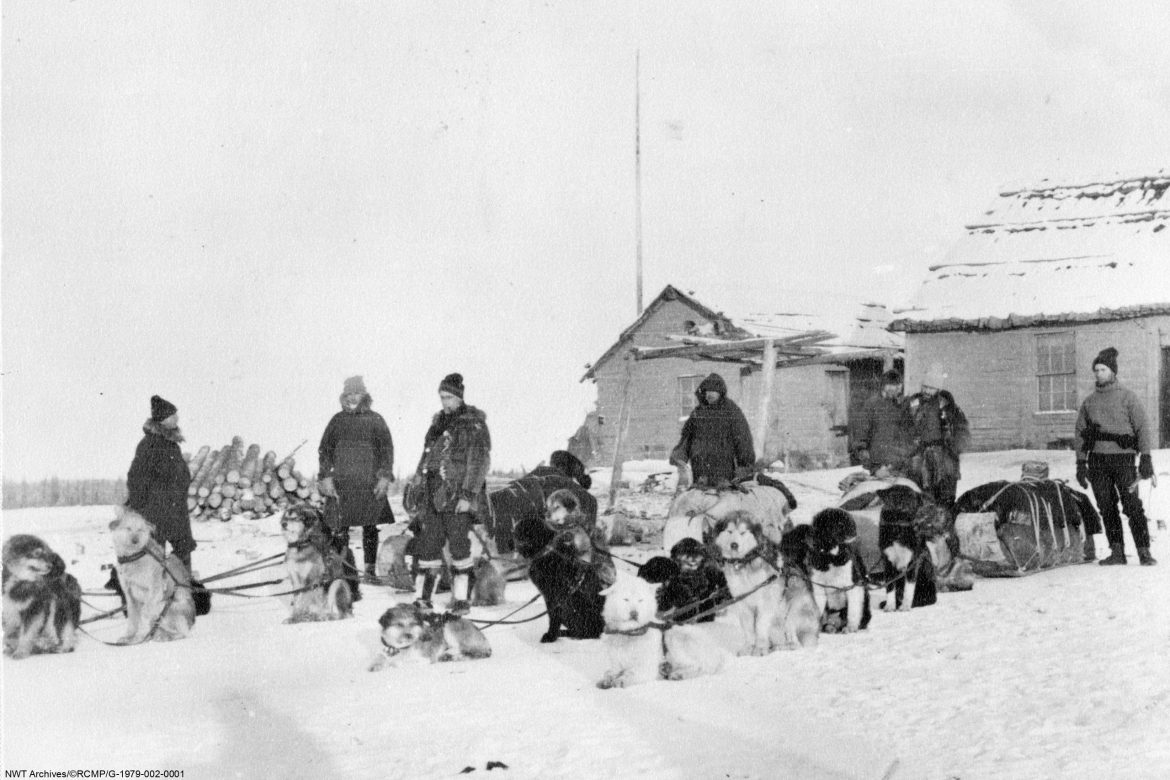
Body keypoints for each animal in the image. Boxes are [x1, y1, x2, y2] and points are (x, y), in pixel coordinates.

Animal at [108, 509, 195, 645]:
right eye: (128, 528)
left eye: (140, 529)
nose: (135, 540)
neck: (134, 557)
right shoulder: (130, 596)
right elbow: (132, 618)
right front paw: (129, 636)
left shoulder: (155, 591)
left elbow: (144, 614)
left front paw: (139, 637)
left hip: (164, 606)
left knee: (182, 633)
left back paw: (163, 636)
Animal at [879, 484, 940, 612]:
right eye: (894, 494)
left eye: (910, 496)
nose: (902, 504)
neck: (899, 526)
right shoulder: (888, 563)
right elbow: (890, 588)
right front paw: (890, 606)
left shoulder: (912, 562)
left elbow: (908, 589)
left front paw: (905, 607)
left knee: (928, 599)